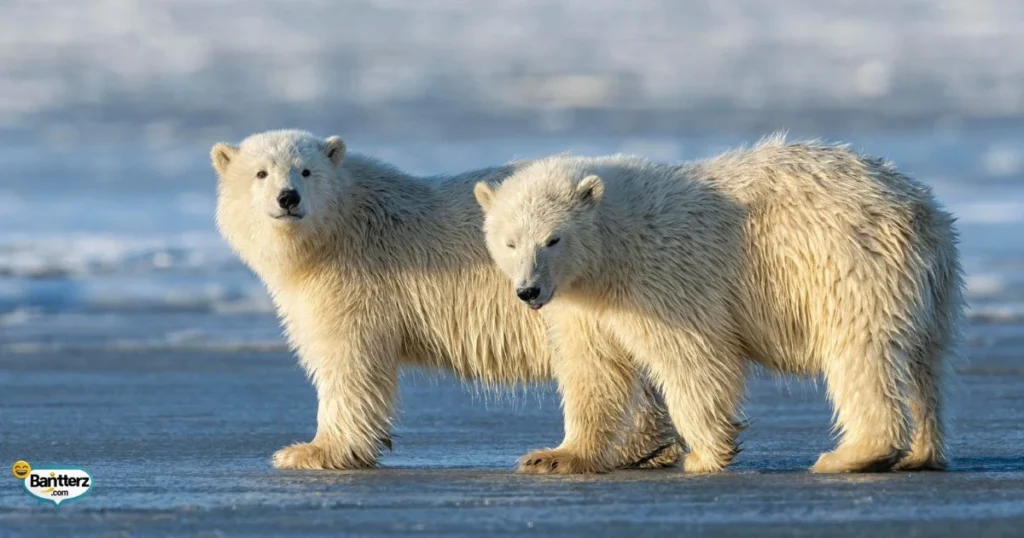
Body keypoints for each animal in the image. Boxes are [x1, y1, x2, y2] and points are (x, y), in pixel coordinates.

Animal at [210, 129, 684, 471]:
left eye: (306, 171)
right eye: (261, 173)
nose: (288, 198)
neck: (341, 230)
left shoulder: (357, 283)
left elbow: (349, 361)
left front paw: (310, 451)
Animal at [474, 136, 964, 474]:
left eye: (553, 238)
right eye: (510, 241)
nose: (529, 291)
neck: (613, 246)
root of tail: (921, 212)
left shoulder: (664, 278)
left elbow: (694, 359)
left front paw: (706, 454)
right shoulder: (583, 302)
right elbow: (593, 369)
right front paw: (554, 456)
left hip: (849, 265)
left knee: (861, 355)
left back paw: (850, 455)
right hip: (932, 287)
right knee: (924, 364)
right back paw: (921, 452)